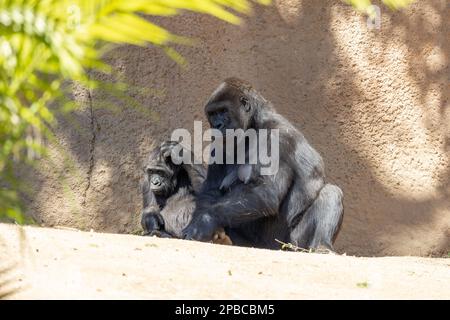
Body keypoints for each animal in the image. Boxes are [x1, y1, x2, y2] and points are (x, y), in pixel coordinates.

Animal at [181, 77, 342, 250]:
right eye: (212, 114)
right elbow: (211, 191)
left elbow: (266, 191)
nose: (217, 125)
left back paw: (322, 246)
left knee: (331, 192)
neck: (254, 124)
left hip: (290, 244)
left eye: (223, 111)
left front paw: (204, 221)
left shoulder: (276, 134)